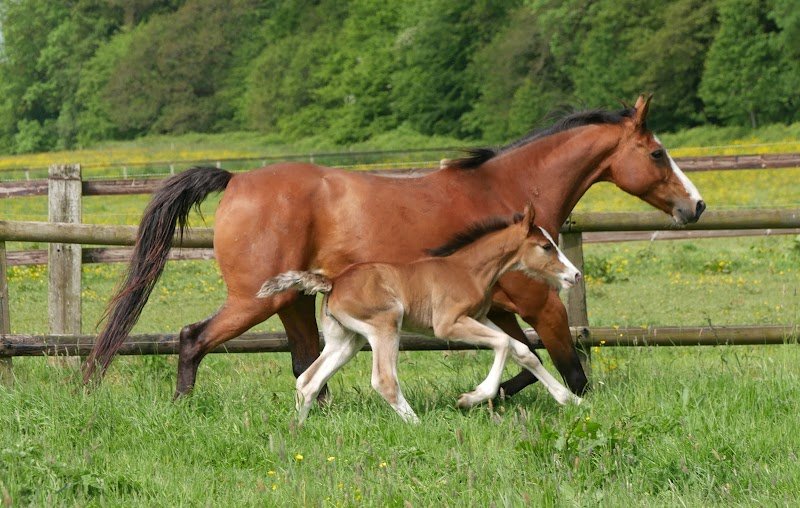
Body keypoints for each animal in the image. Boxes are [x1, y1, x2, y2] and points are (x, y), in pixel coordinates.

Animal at [83, 95, 705, 399]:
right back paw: (182, 406)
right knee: (192, 339)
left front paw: (491, 399)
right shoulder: (539, 302)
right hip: (254, 299)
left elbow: (523, 358)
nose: (695, 206)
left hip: (293, 302)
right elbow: (569, 369)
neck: (509, 193)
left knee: (305, 362)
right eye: (657, 154)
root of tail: (234, 179)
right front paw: (494, 399)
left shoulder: (496, 308)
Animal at [258, 204, 582, 423]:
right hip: (386, 324)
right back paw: (416, 423)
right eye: (546, 246)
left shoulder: (479, 318)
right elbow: (504, 344)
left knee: (308, 380)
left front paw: (570, 399)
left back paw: (298, 427)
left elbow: (523, 351)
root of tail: (333, 282)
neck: (469, 270)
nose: (575, 275)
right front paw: (471, 398)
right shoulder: (448, 324)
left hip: (347, 339)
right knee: (384, 380)